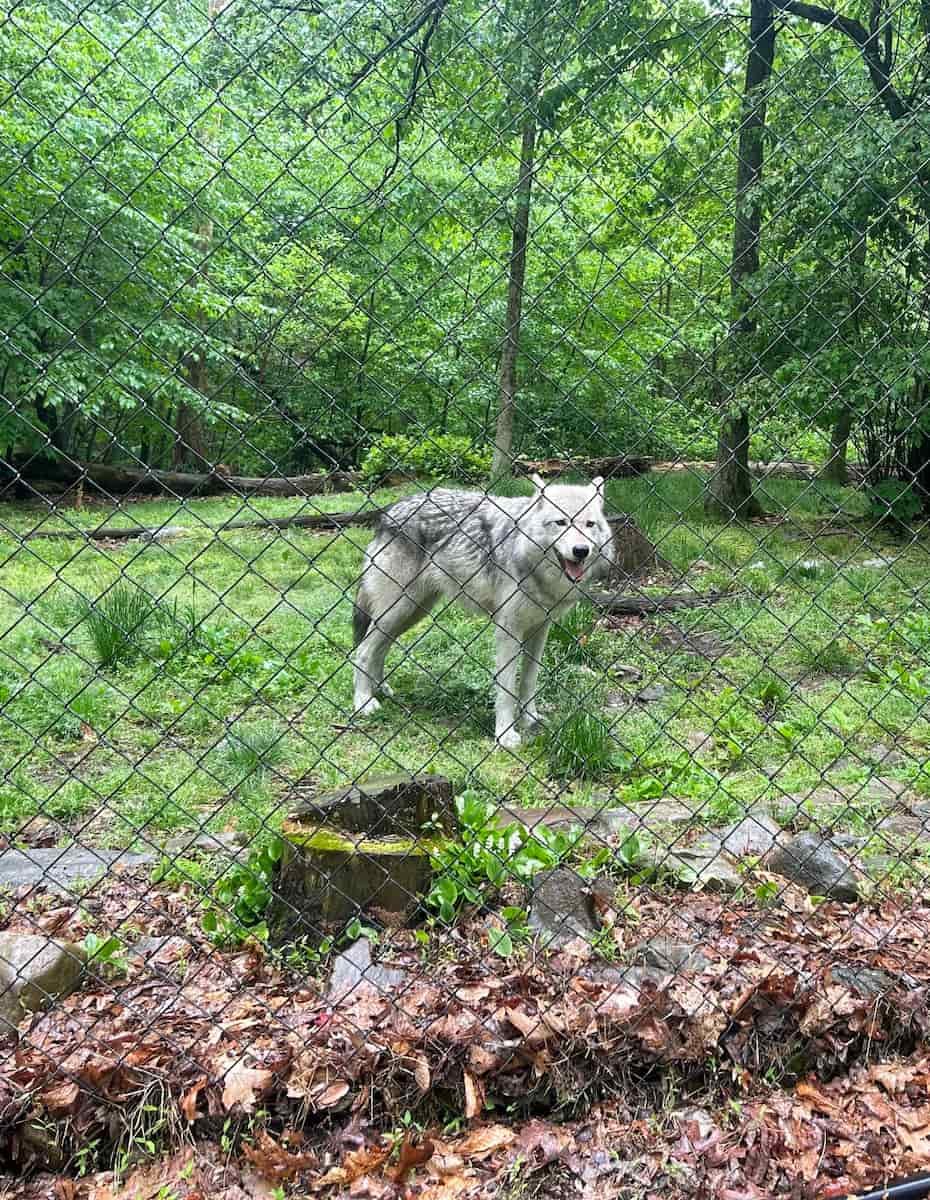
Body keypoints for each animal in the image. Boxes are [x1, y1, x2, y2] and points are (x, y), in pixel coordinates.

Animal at [352, 472, 614, 744]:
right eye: (561, 522)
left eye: (590, 524)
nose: (581, 551)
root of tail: (391, 509)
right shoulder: (508, 631)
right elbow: (507, 688)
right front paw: (505, 735)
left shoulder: (540, 629)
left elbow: (529, 680)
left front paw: (530, 719)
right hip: (397, 610)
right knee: (362, 651)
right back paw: (364, 703)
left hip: (411, 612)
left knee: (380, 648)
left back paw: (381, 690)